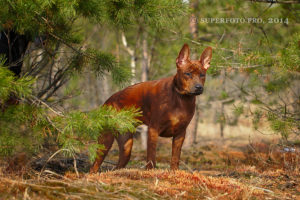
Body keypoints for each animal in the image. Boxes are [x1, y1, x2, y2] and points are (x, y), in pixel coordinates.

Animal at [90, 44, 212, 173]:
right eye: (188, 74)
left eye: (202, 75)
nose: (198, 87)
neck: (180, 99)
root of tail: (108, 102)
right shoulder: (154, 129)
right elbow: (151, 155)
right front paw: (150, 172)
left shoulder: (180, 134)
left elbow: (175, 157)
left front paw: (174, 172)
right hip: (106, 140)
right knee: (94, 165)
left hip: (126, 145)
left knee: (118, 165)